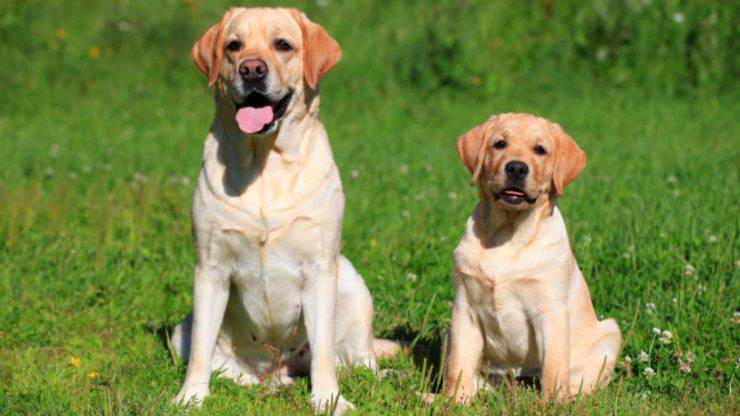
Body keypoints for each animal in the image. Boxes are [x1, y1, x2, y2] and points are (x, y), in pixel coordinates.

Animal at [171, 8, 396, 414]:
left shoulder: (320, 267)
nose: (252, 69)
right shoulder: (210, 268)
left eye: (283, 45)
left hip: (351, 285)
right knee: (226, 367)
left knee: (359, 360)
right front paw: (190, 397)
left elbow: (323, 355)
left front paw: (329, 400)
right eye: (233, 46)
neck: (265, 164)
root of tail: (276, 367)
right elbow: (199, 353)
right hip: (183, 329)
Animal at [448, 112, 620, 402]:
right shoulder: (465, 309)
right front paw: (450, 402)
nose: (516, 168)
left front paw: (553, 404)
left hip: (609, 334)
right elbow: (458, 366)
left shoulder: (550, 311)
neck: (508, 235)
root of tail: (516, 377)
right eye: (500, 144)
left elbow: (554, 368)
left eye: (540, 150)